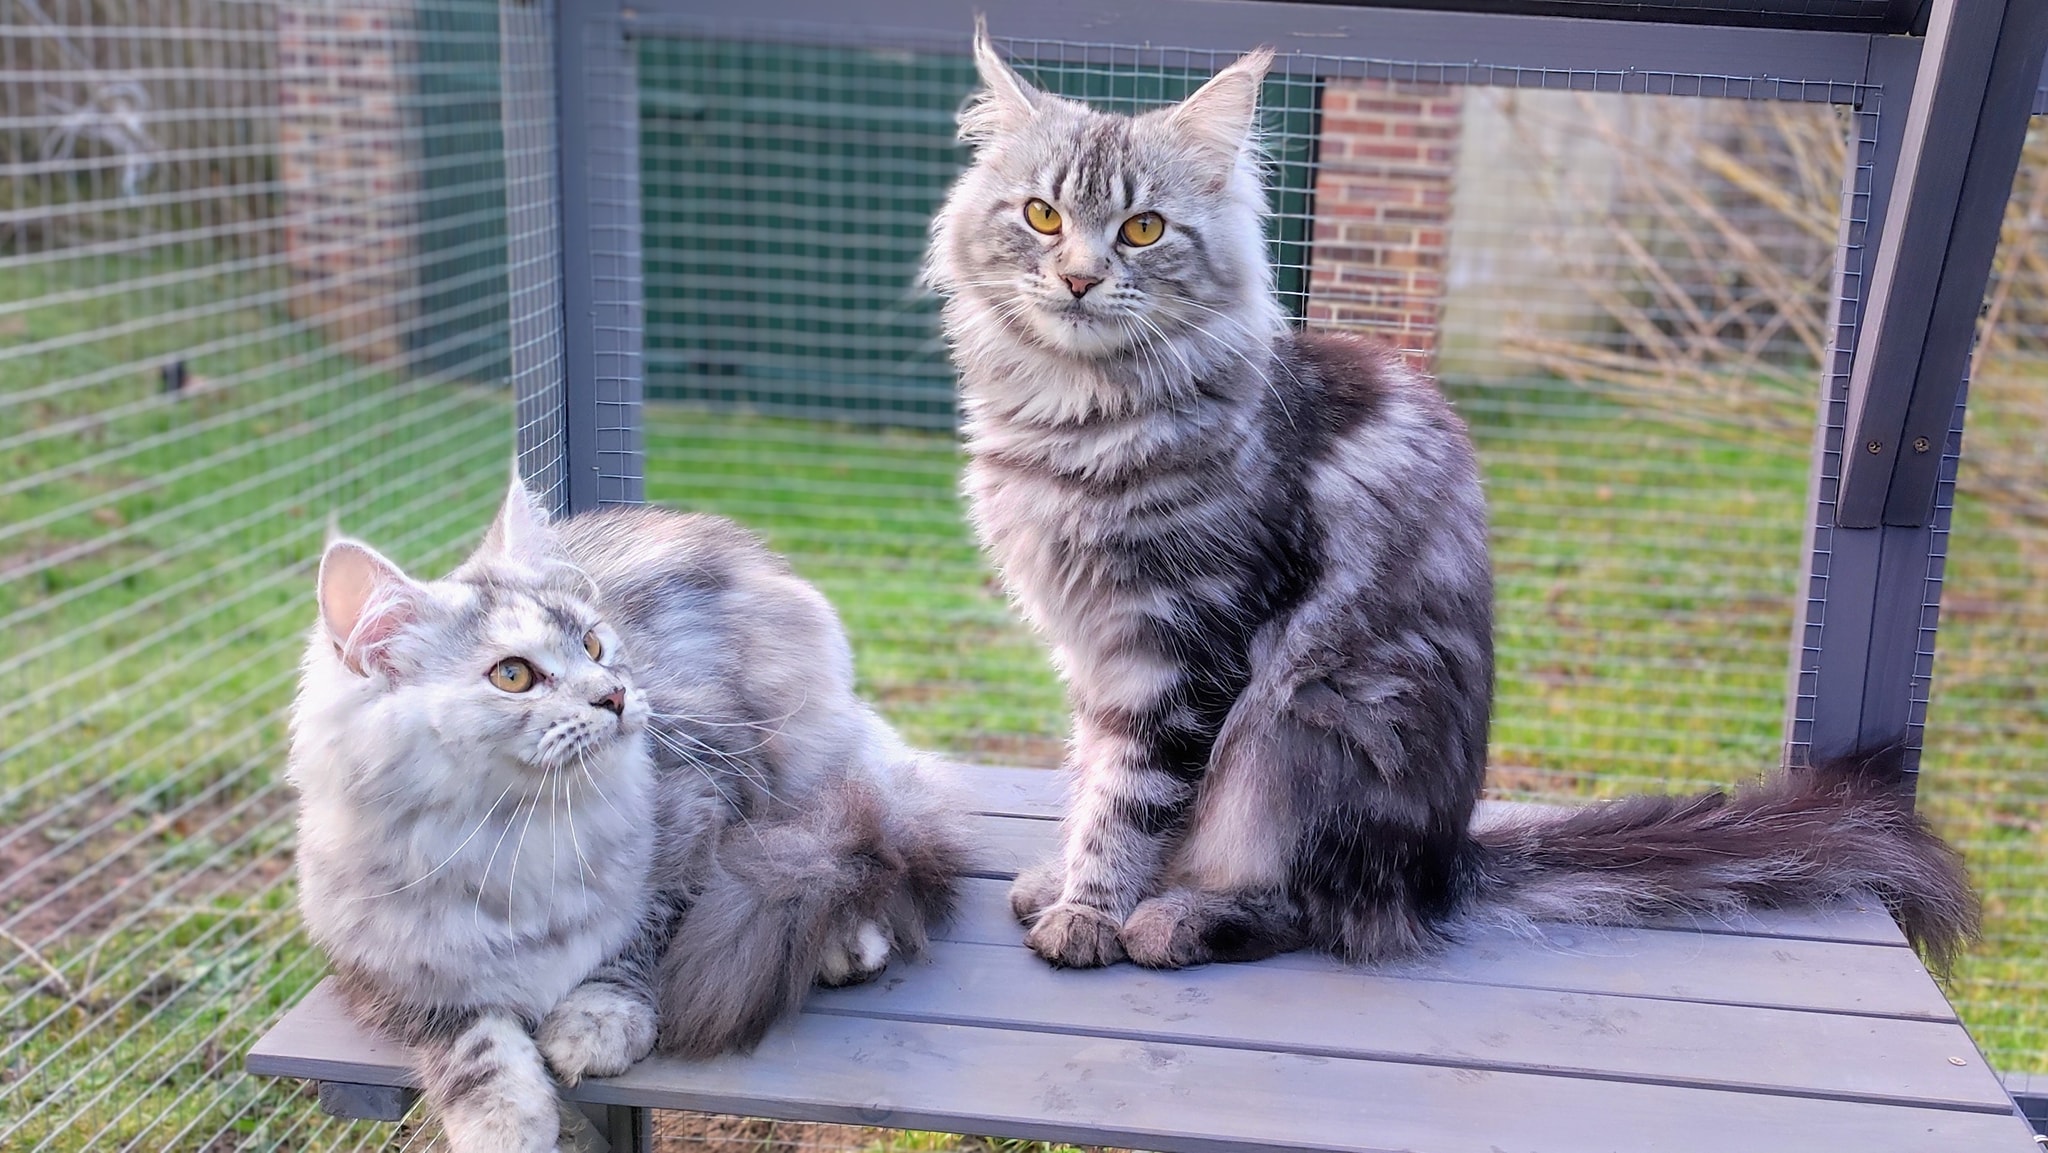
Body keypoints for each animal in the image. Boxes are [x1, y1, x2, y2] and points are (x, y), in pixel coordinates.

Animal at [288, 478, 968, 1152]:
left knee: (831, 851)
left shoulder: (698, 818)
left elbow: (632, 944)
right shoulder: (389, 972)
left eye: (594, 645)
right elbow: (474, 1043)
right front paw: (505, 1120)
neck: (520, 835)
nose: (613, 695)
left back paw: (847, 946)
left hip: (804, 765)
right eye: (513, 675)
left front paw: (594, 1022)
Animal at [927, 25, 1977, 972]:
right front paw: (1064, 881)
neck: (1078, 420)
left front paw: (1090, 912)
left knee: (1319, 911)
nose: (1078, 278)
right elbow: (1091, 776)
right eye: (1042, 216)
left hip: (1303, 723)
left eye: (1141, 228)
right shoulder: (1097, 652)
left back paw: (1180, 919)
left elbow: (1132, 799)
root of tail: (1447, 867)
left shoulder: (1181, 651)